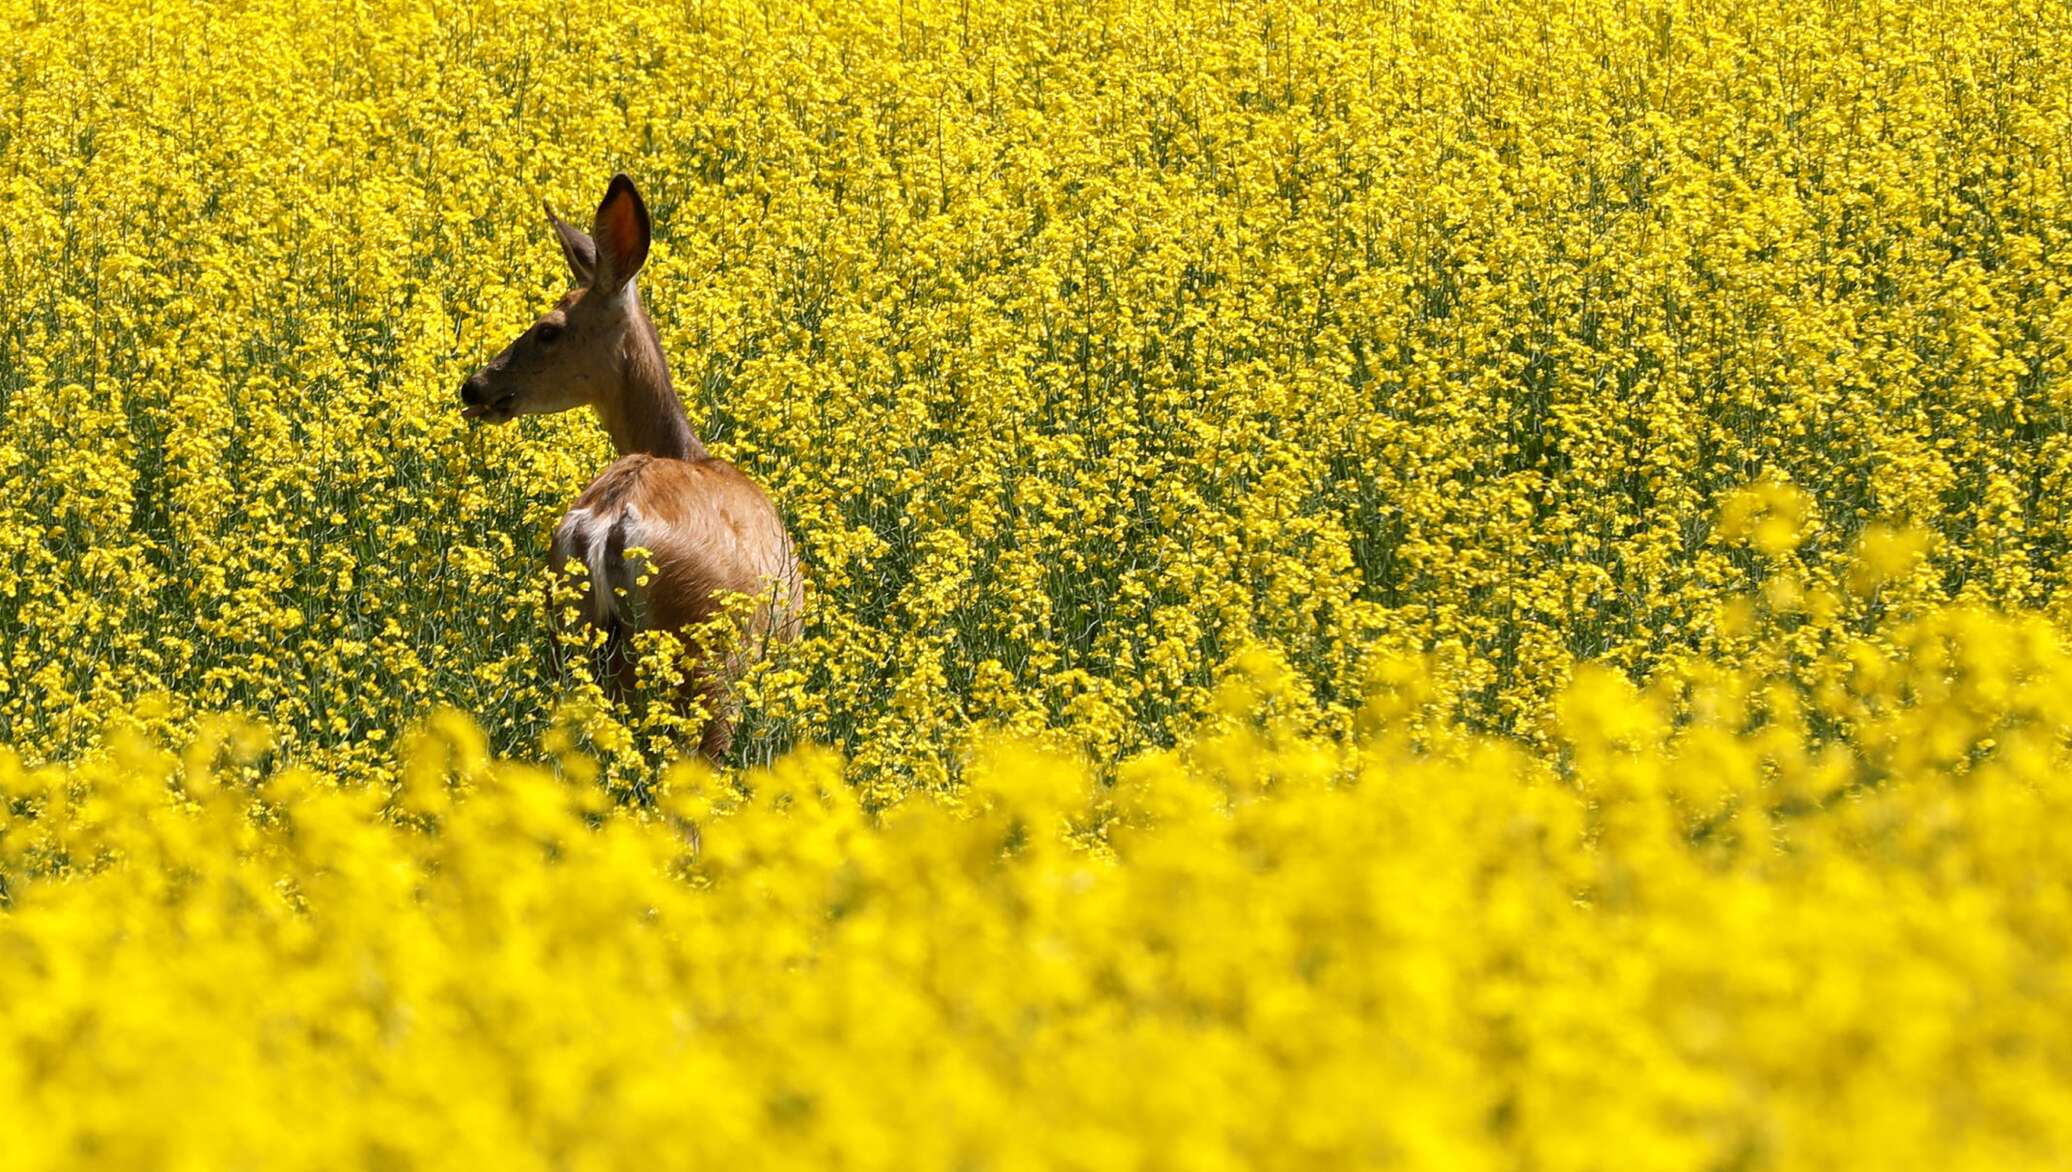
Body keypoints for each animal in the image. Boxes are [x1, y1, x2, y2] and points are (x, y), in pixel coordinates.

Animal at [457, 174, 803, 762]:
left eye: (547, 330)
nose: (474, 386)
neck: (687, 450)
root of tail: (608, 525)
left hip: (570, 635)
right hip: (711, 654)